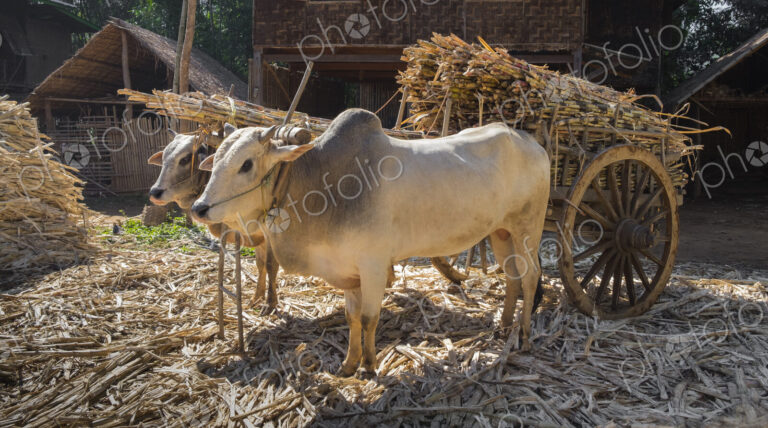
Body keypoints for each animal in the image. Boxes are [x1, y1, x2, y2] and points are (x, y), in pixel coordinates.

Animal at [147, 130, 279, 309]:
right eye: (163, 158)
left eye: (185, 159)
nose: (155, 192)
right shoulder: (256, 236)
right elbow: (261, 265)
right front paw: (256, 298)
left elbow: (271, 266)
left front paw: (270, 304)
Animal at [191, 109, 550, 377]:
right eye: (216, 158)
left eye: (246, 164)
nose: (199, 207)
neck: (321, 185)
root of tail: (533, 143)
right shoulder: (348, 271)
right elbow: (352, 317)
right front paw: (349, 364)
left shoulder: (374, 265)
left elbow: (368, 318)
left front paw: (369, 364)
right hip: (502, 233)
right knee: (513, 277)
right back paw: (504, 327)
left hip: (528, 230)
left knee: (530, 277)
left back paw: (525, 337)